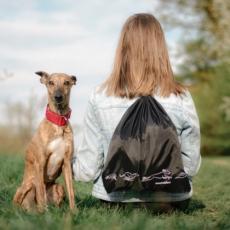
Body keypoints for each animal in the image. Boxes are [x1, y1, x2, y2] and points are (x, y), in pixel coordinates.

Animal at [13, 72, 76, 212]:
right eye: (50, 82)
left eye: (66, 82)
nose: (58, 97)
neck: (58, 123)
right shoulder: (40, 163)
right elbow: (41, 192)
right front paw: (44, 213)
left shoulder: (66, 162)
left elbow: (71, 192)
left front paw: (74, 211)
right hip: (27, 185)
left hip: (58, 187)